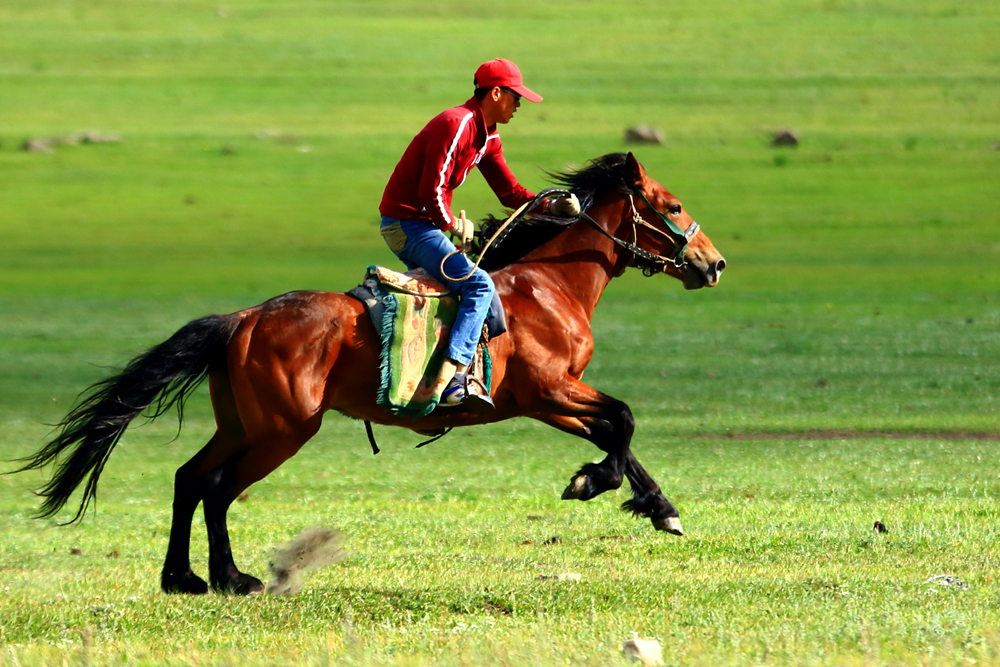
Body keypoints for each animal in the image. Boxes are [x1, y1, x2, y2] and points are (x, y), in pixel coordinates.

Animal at [13, 154, 728, 596]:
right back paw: (232, 578)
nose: (714, 262)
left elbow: (617, 432)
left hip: (244, 424)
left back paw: (183, 578)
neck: (550, 286)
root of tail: (244, 317)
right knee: (216, 487)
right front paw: (594, 484)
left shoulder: (545, 401)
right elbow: (623, 421)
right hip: (282, 432)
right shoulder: (549, 391)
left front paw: (658, 507)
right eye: (671, 204)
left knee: (190, 478)